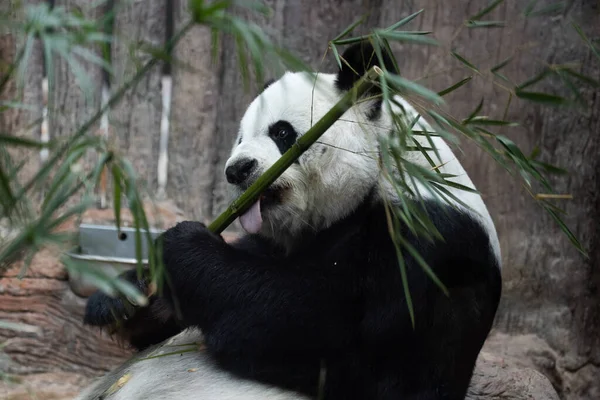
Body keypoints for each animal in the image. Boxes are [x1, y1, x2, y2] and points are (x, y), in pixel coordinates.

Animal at [78, 41, 502, 400]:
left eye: (281, 132)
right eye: (239, 138)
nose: (237, 170)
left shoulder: (422, 243)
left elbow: (321, 330)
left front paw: (182, 248)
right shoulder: (276, 241)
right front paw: (122, 298)